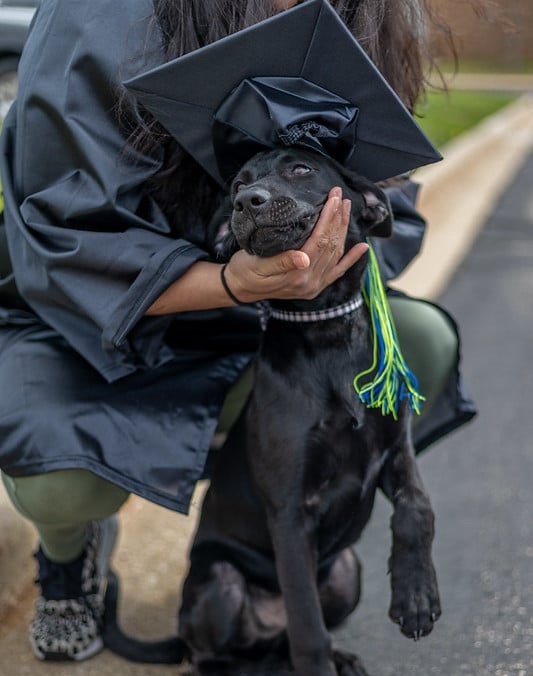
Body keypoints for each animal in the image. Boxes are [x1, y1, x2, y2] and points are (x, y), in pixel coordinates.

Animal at [172, 149, 438, 676]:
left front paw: (417, 596)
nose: (247, 202)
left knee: (282, 639)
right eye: (237, 185)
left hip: (347, 572)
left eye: (301, 169)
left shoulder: (397, 449)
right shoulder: (290, 511)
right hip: (222, 581)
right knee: (224, 652)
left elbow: (418, 507)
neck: (324, 327)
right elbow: (308, 631)